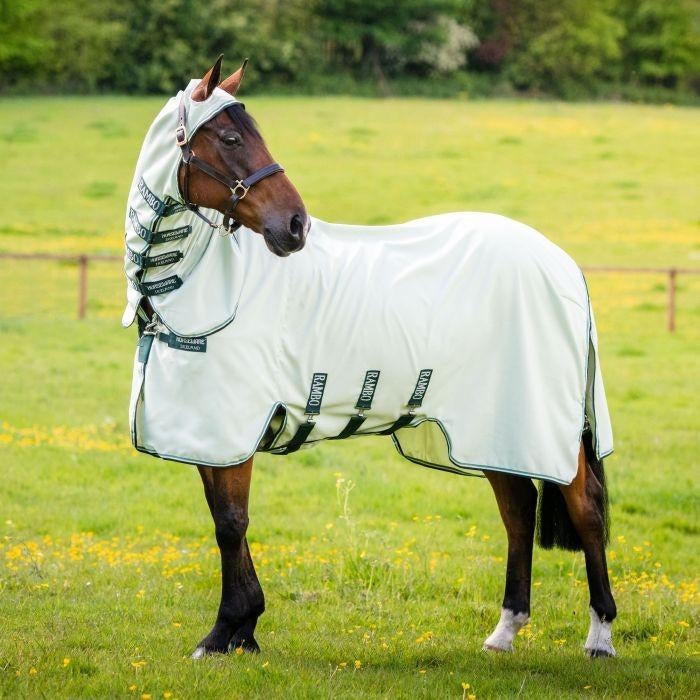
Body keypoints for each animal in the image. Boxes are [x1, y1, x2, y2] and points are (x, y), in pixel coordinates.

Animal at [123, 56, 617, 660]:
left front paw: (226, 630)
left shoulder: (227, 429)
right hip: (493, 428)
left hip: (545, 429)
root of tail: (563, 264)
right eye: (232, 137)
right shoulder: (209, 436)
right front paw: (243, 630)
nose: (296, 225)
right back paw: (505, 630)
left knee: (585, 510)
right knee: (519, 510)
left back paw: (600, 636)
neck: (201, 286)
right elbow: (226, 520)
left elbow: (231, 524)